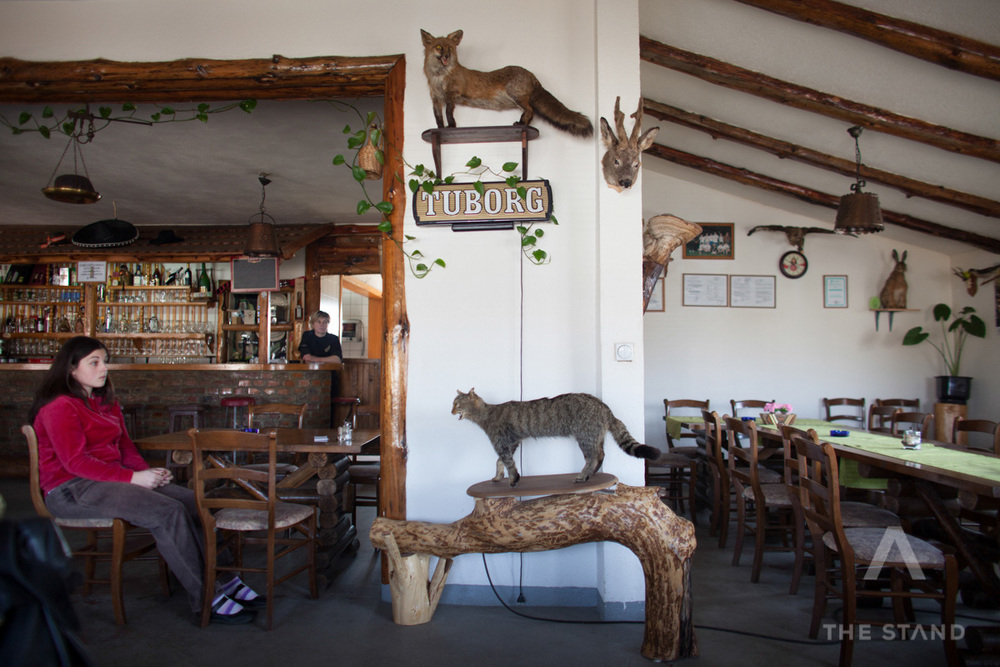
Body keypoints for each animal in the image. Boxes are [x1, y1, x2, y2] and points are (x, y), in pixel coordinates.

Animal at [420, 29, 592, 139]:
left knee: (530, 110)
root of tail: (532, 75)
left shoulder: (452, 95)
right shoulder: (435, 98)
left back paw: (520, 123)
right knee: (531, 113)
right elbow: (438, 117)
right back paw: (522, 123)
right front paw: (440, 128)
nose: (447, 56)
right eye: (438, 47)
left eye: (449, 48)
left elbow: (449, 112)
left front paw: (451, 126)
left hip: (516, 96)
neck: (439, 77)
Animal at [452, 388, 656, 488]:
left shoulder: (502, 443)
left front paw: (512, 479)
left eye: (457, 404)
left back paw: (583, 475)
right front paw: (498, 476)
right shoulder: (512, 442)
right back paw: (591, 474)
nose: (451, 411)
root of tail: (605, 407)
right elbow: (500, 461)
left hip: (585, 436)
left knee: (593, 457)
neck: (485, 414)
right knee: (601, 454)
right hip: (594, 437)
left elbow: (508, 462)